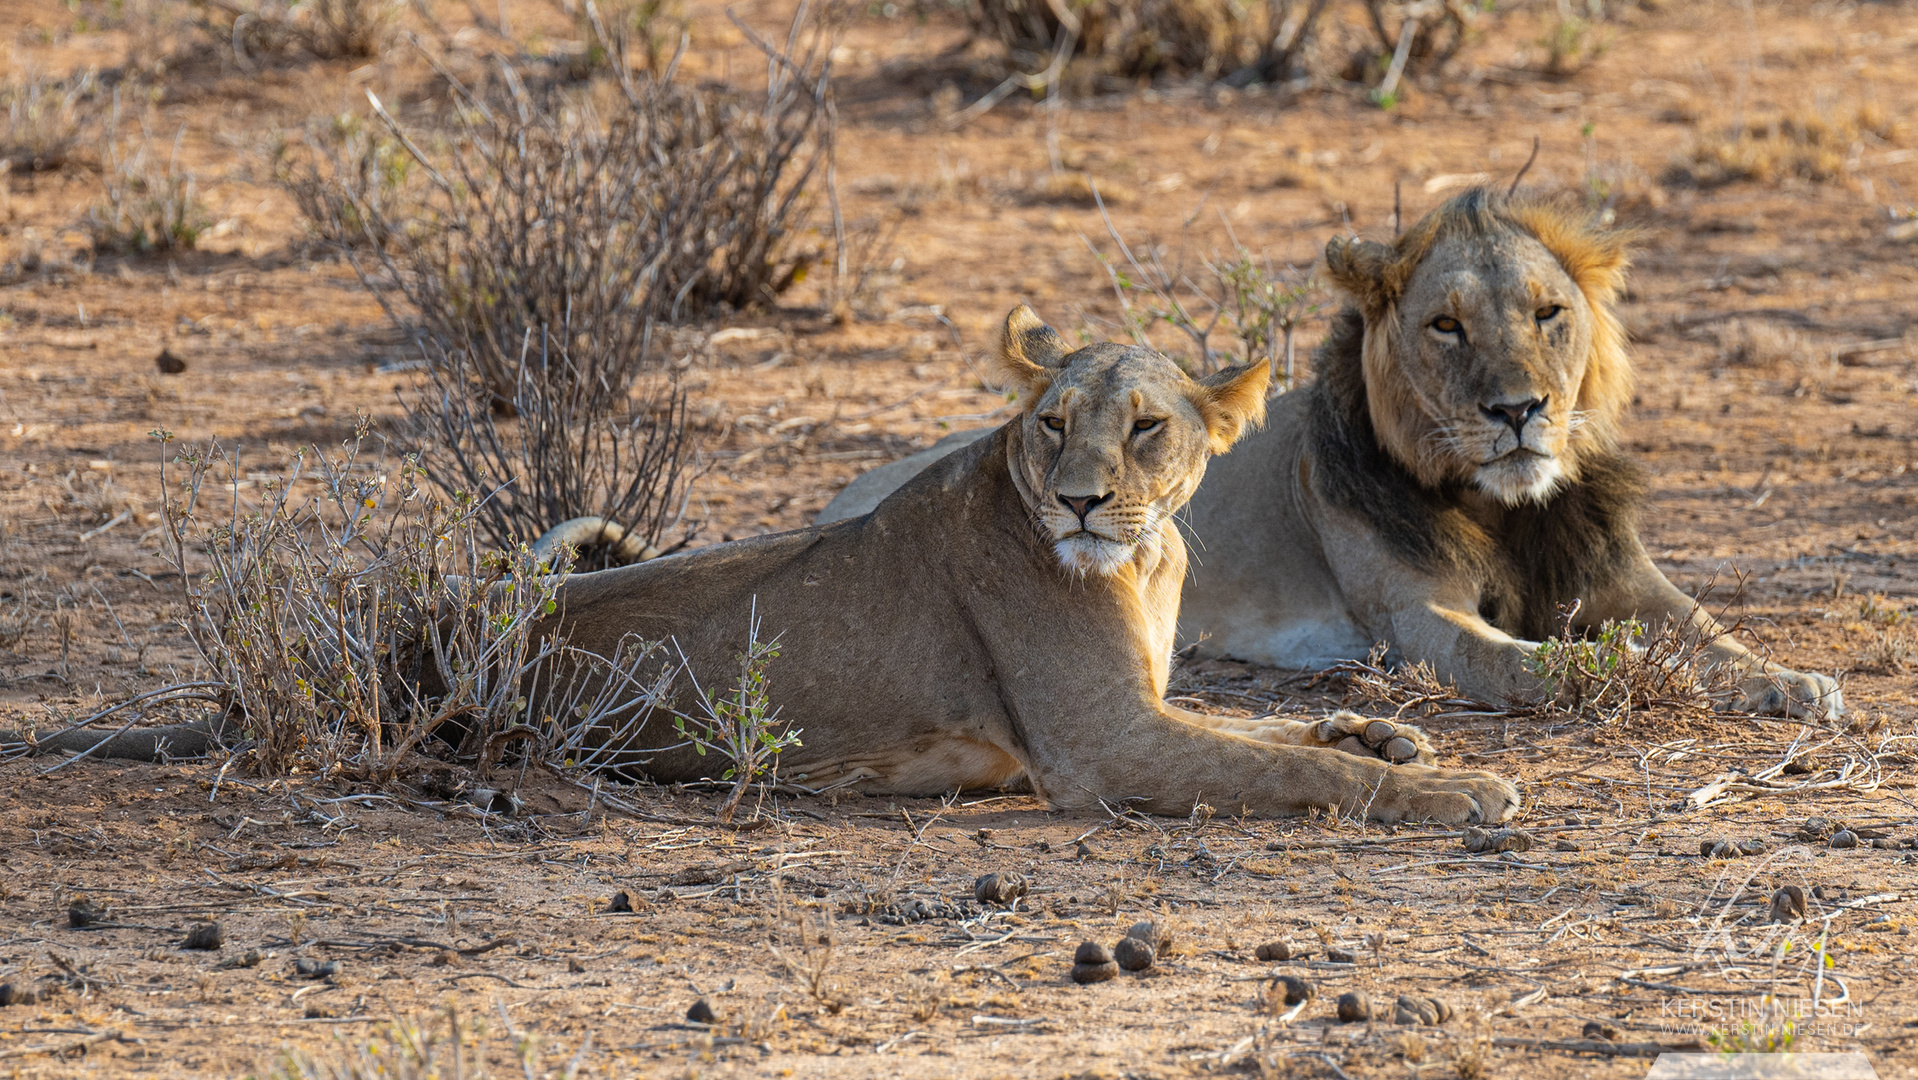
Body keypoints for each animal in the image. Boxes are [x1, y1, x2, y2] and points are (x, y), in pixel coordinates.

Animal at [820, 191, 1841, 717]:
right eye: (1445, 326)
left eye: (1549, 312)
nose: (1518, 410)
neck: (1502, 503)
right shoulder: (1415, 618)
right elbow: (1536, 664)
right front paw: (1624, 670)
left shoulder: (1619, 573)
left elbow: (1710, 630)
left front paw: (1794, 681)